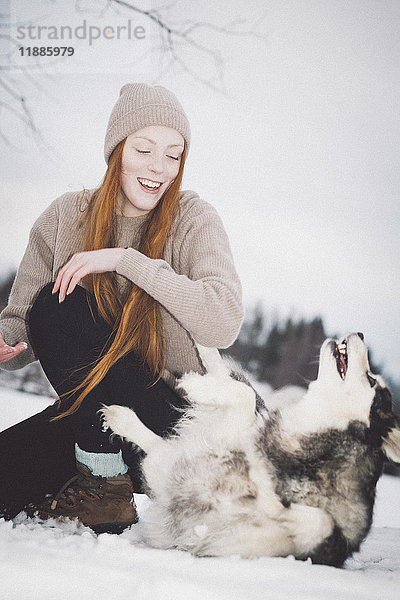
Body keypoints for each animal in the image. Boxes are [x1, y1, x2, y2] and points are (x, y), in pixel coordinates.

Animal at [101, 332, 400, 568]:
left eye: (372, 380)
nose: (360, 334)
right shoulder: (176, 461)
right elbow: (237, 390)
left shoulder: (330, 540)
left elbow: (320, 522)